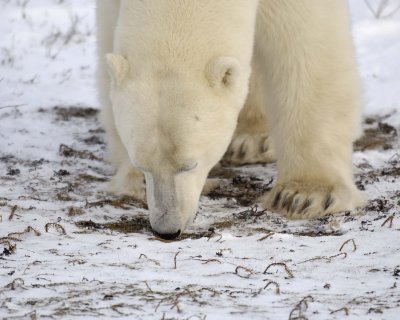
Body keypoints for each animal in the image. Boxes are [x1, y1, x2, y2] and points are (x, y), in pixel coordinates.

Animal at [95, 0, 364, 239]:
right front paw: (135, 180)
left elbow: (304, 43)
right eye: (142, 165)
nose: (167, 229)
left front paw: (304, 195)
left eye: (190, 165)